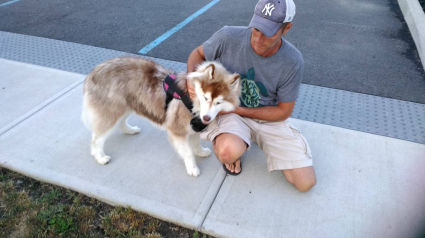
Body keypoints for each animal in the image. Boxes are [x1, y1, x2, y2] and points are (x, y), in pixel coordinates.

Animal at [79, 57, 238, 177]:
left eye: (219, 102)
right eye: (205, 98)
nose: (206, 118)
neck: (191, 99)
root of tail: (94, 71)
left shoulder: (192, 128)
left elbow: (196, 143)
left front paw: (201, 152)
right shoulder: (178, 132)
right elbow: (188, 153)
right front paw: (192, 168)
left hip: (128, 106)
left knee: (121, 123)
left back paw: (130, 130)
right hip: (111, 113)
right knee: (97, 139)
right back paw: (100, 157)